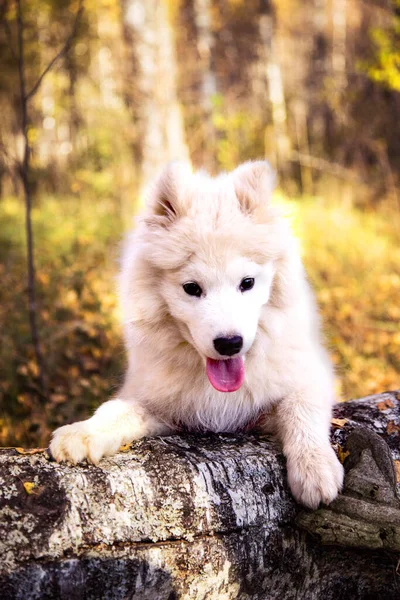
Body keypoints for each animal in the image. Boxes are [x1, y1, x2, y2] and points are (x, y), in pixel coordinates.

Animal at [50, 162, 344, 508]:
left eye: (247, 282)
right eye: (191, 288)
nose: (230, 343)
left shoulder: (307, 376)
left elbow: (301, 409)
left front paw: (316, 468)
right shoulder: (161, 402)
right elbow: (116, 409)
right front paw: (82, 432)